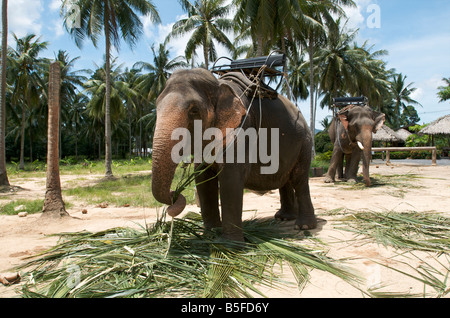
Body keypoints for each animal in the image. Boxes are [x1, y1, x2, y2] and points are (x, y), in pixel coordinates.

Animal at [151, 67, 316, 241]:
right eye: (157, 108)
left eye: (194, 110)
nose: (174, 195)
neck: (219, 85)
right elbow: (203, 179)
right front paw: (210, 234)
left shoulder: (243, 128)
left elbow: (231, 177)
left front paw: (229, 244)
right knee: (285, 180)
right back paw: (283, 217)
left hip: (305, 143)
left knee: (299, 179)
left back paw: (304, 226)